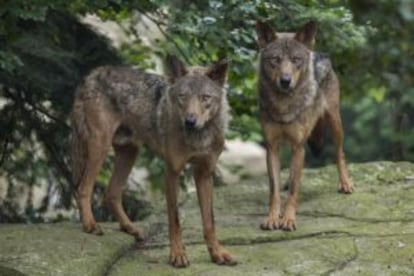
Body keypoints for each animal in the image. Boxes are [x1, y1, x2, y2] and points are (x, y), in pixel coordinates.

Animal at [71, 54, 236, 268]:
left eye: (205, 98)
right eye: (182, 96)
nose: (190, 122)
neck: (199, 137)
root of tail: (92, 74)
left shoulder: (204, 174)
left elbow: (210, 221)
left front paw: (217, 254)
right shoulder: (172, 172)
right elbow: (175, 219)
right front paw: (177, 255)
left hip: (129, 153)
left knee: (111, 193)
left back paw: (131, 228)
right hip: (99, 147)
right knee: (83, 189)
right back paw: (90, 225)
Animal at [256, 21, 352, 232]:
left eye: (295, 60)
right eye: (275, 59)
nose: (285, 81)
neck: (283, 104)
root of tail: (319, 53)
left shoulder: (298, 146)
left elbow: (294, 189)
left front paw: (288, 219)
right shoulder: (272, 147)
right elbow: (274, 189)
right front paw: (273, 217)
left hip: (335, 124)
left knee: (339, 153)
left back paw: (345, 183)